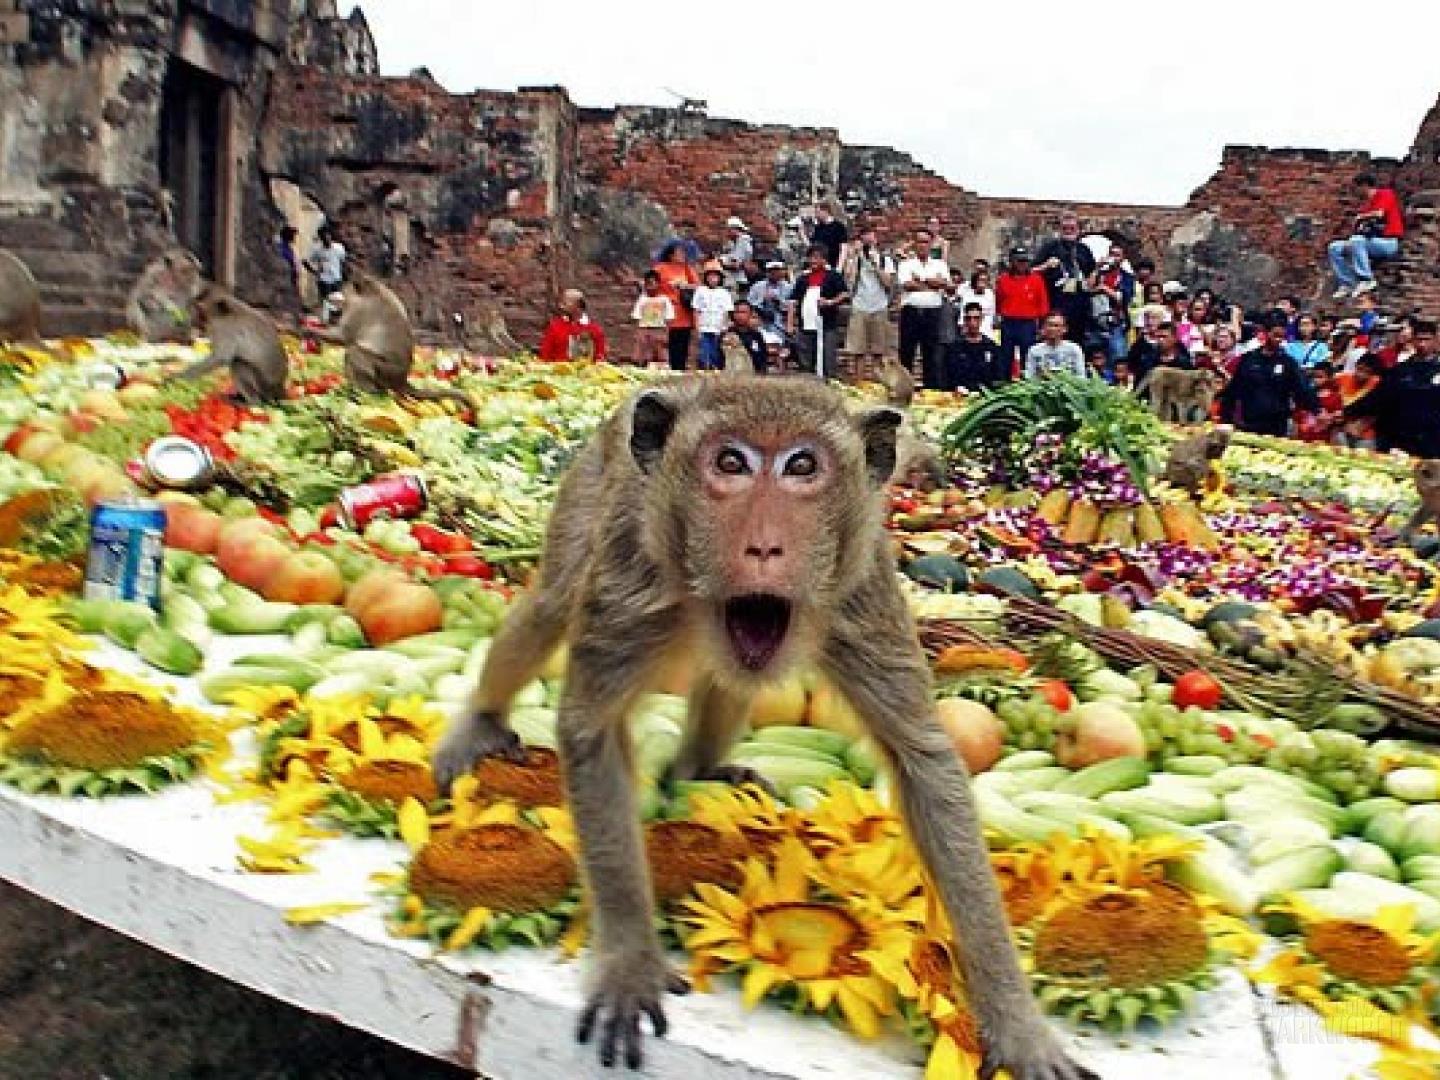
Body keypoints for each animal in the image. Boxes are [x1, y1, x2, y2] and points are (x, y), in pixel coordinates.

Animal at [433, 376, 1097, 1079]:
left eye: (802, 467)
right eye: (731, 463)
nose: (762, 547)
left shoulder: (859, 591)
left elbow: (925, 762)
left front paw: (1016, 1024)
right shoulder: (630, 576)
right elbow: (593, 731)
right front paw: (630, 963)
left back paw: (700, 768)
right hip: (591, 489)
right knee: (550, 604)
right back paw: (481, 721)